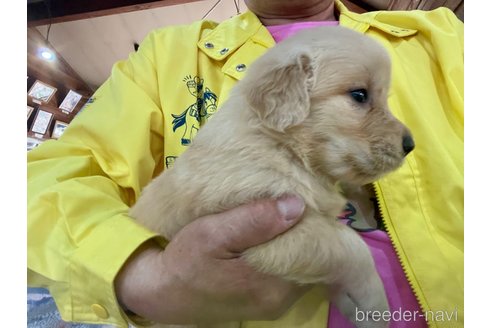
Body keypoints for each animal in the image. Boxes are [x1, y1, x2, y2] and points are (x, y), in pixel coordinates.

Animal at [129, 26, 414, 328]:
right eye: (359, 95)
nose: (410, 145)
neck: (280, 147)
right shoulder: (271, 235)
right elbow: (353, 247)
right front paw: (375, 305)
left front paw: (354, 307)